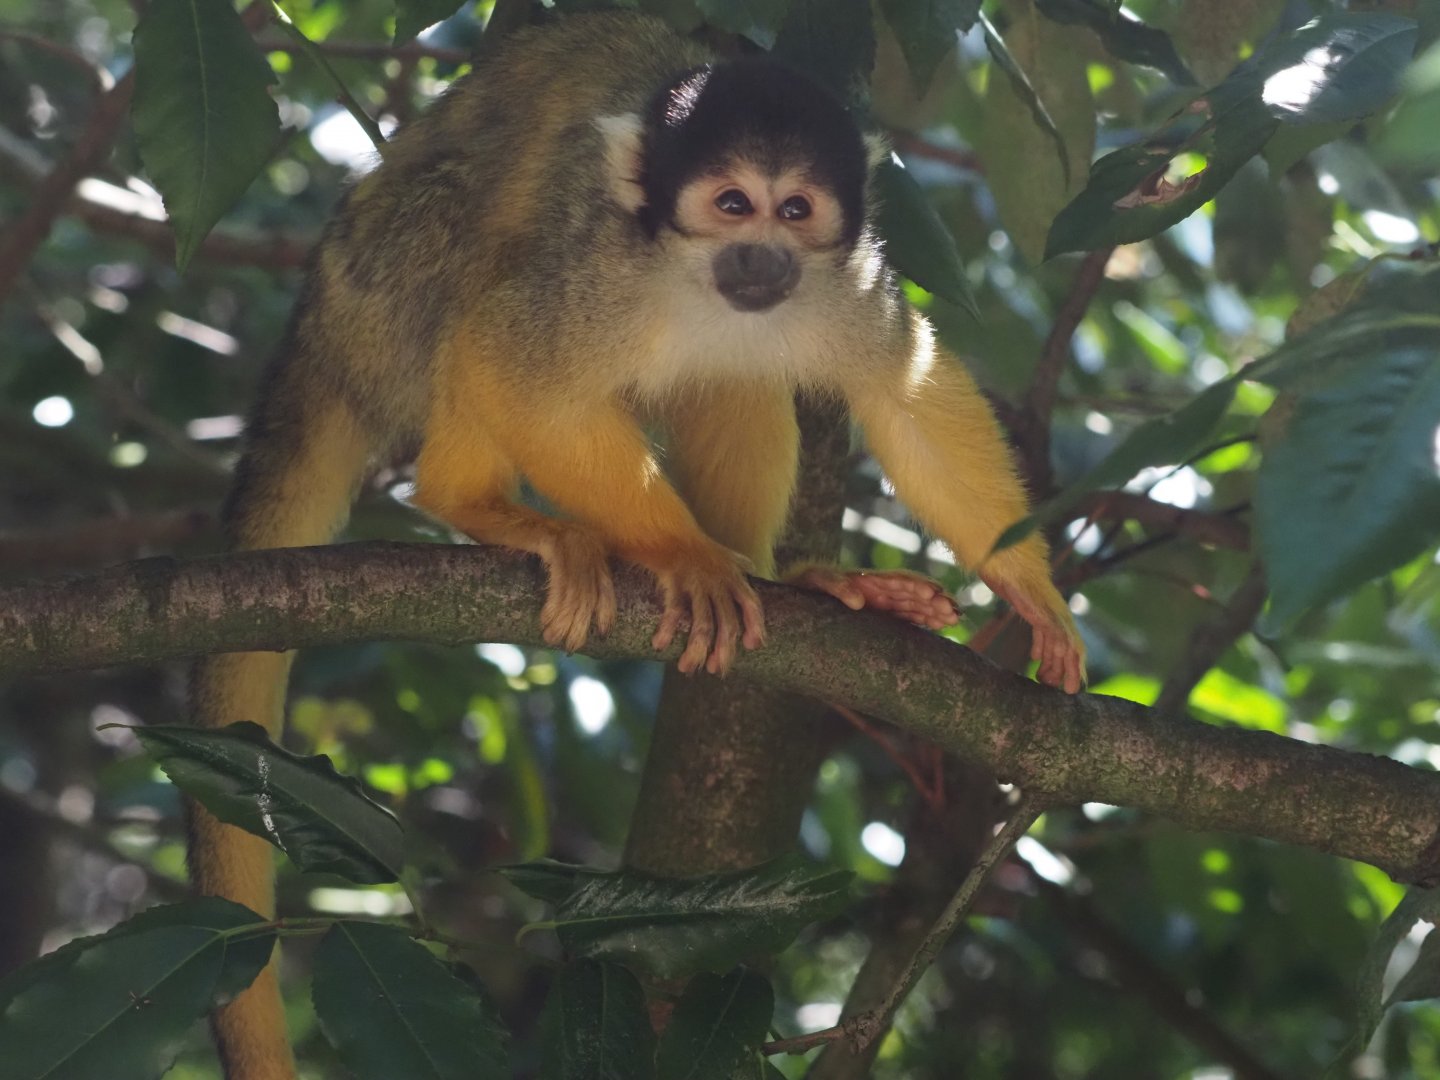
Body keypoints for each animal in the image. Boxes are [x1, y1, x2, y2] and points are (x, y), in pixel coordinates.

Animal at [187, 10, 1085, 1077]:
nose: (760, 261)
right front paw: (684, 557)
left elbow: (903, 390)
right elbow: (511, 362)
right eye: (732, 204)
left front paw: (1028, 583)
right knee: (478, 265)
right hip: (377, 298)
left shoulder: (847, 280)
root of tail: (319, 314)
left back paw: (794, 579)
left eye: (794, 210)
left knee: (737, 373)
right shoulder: (597, 269)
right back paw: (479, 502)